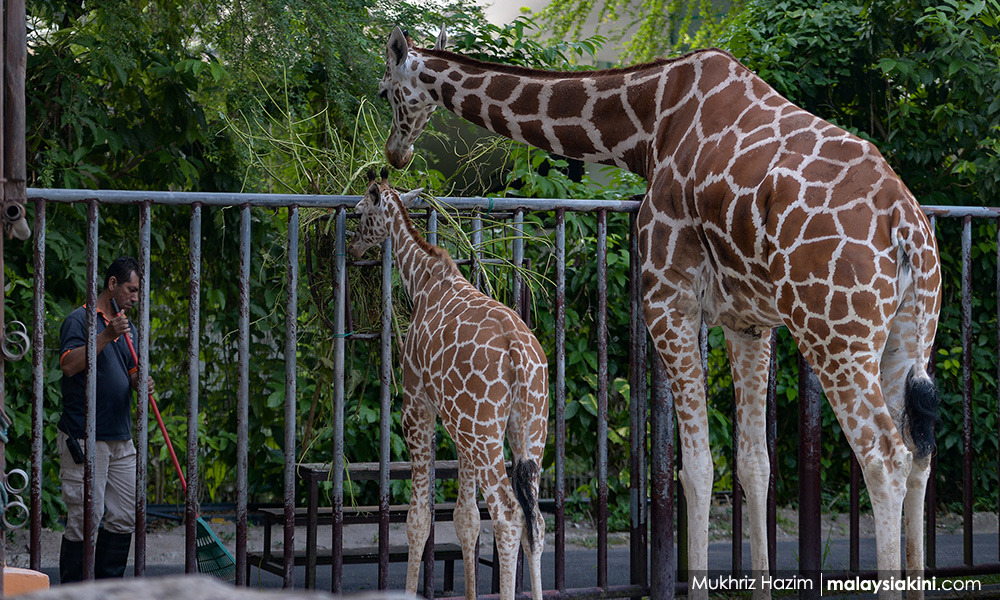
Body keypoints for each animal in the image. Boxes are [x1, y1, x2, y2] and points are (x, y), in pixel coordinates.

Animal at [344, 169, 548, 600]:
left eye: (360, 212)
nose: (353, 246)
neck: (421, 280)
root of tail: (521, 359)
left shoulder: (416, 404)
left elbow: (418, 518)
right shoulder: (460, 427)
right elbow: (465, 517)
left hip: (486, 434)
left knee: (508, 514)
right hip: (527, 432)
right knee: (534, 521)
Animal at [378, 25, 940, 596]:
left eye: (385, 92)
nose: (393, 154)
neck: (647, 125)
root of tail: (905, 225)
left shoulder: (667, 299)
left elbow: (696, 470)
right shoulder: (748, 323)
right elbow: (753, 464)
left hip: (835, 335)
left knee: (884, 458)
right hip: (908, 333)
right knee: (919, 452)